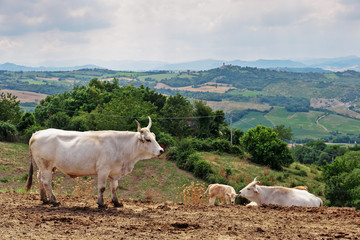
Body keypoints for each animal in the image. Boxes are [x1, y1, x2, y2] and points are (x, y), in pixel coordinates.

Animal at [25, 116, 165, 208]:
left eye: (154, 137)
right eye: (148, 139)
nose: (161, 150)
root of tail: (37, 133)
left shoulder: (114, 172)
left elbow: (114, 187)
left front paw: (116, 202)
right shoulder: (103, 170)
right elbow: (102, 188)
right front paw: (101, 203)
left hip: (46, 167)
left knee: (39, 178)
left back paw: (44, 199)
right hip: (46, 165)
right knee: (46, 182)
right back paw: (54, 201)